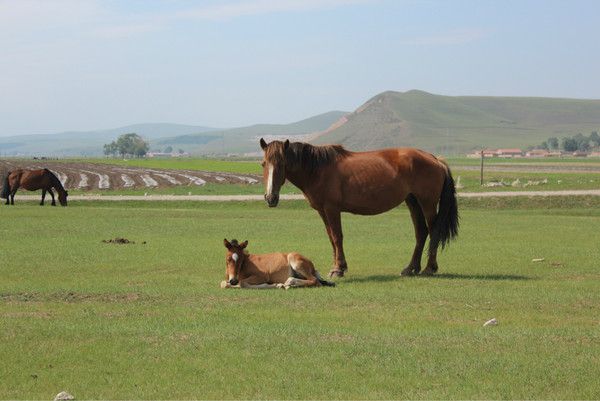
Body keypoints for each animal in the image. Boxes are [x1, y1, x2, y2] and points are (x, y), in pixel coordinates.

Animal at [258, 139, 460, 276]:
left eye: (282, 163)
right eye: (264, 163)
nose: (270, 197)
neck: (317, 170)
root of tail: (435, 159)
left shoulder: (332, 209)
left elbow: (337, 237)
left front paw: (338, 269)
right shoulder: (323, 211)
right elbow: (331, 238)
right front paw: (337, 266)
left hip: (427, 203)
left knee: (433, 231)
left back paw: (429, 268)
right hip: (413, 202)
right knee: (421, 232)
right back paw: (411, 268)